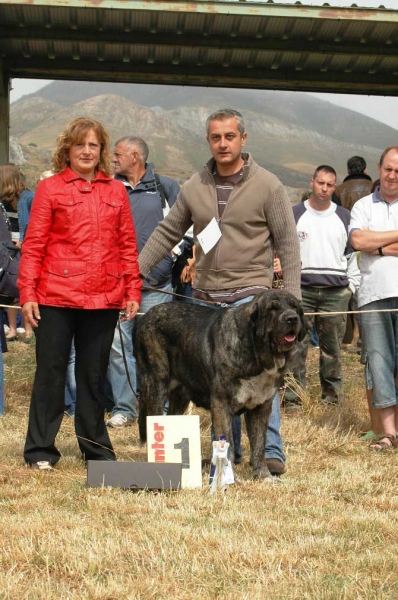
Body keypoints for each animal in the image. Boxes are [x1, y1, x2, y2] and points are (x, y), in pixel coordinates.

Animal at [134, 288, 304, 480]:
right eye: (272, 309)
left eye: (294, 307)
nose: (292, 318)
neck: (255, 352)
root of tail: (145, 317)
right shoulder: (222, 404)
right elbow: (227, 442)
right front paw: (228, 478)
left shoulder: (261, 407)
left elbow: (259, 445)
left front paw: (264, 475)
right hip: (156, 385)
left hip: (180, 396)